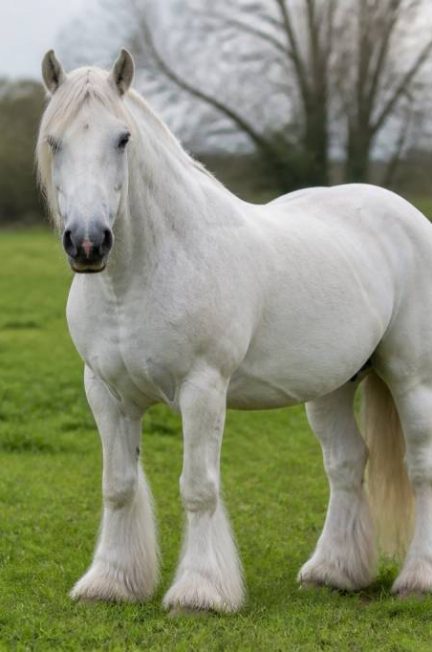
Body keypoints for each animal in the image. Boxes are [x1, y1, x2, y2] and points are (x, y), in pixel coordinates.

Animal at [36, 48, 432, 613]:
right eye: (55, 140)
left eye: (122, 138)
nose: (88, 243)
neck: (143, 273)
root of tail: (402, 212)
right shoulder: (106, 393)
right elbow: (118, 485)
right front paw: (110, 582)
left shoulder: (203, 388)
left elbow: (198, 487)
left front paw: (200, 591)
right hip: (332, 386)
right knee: (346, 464)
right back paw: (333, 572)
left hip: (410, 377)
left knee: (419, 467)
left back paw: (417, 578)